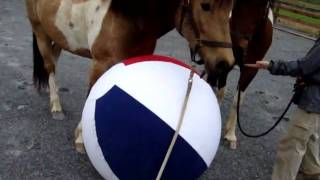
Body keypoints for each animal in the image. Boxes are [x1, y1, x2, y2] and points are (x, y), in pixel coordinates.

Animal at [25, 0, 235, 152]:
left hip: (60, 36)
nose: (225, 63)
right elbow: (92, 92)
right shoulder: (100, 63)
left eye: (231, 9)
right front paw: (81, 138)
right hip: (40, 31)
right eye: (205, 5)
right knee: (49, 65)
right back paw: (55, 106)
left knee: (54, 59)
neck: (132, 17)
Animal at [221, 0, 274, 149]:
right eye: (235, 3)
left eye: (263, 6)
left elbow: (237, 101)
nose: (239, 47)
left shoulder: (251, 69)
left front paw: (230, 135)